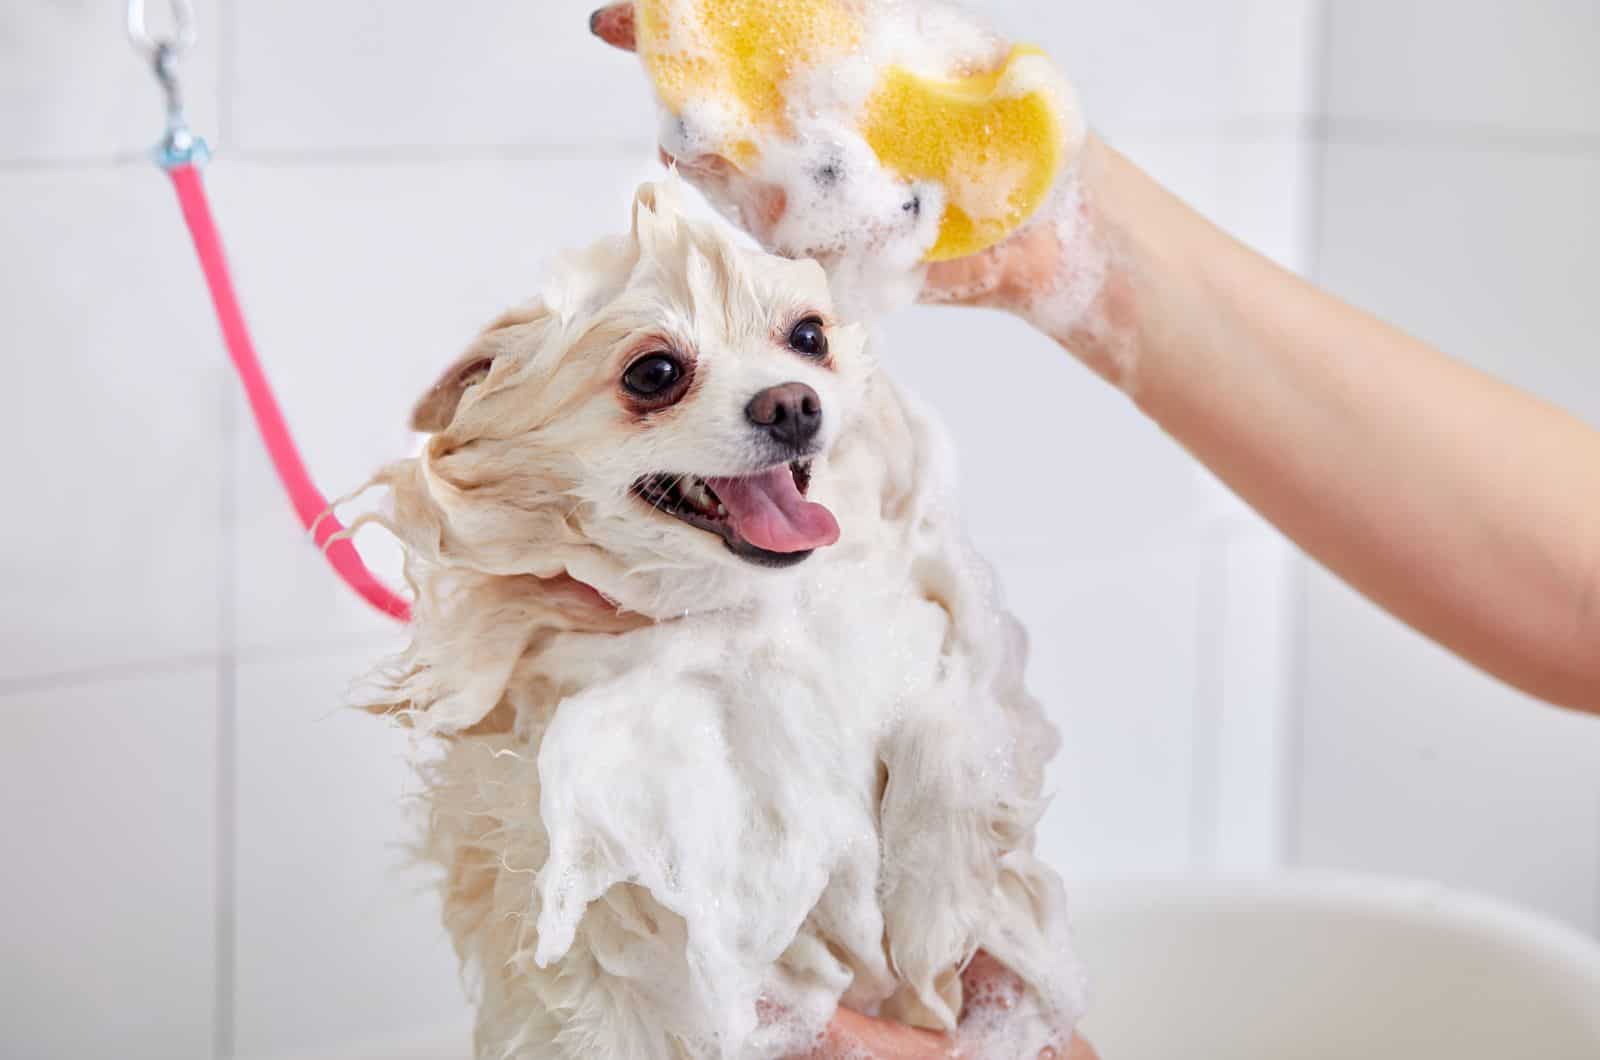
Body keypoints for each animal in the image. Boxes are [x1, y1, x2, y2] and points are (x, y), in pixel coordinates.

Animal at [363, 178, 1081, 1056]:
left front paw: (935, 908)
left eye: (808, 336)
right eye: (655, 372)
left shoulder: (924, 620)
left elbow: (949, 731)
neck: (745, 607)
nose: (793, 404)